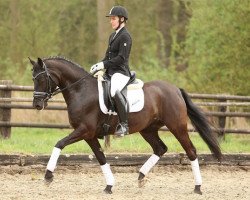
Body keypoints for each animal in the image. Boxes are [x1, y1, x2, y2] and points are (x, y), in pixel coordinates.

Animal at [28, 57, 222, 195]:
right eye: (33, 79)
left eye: (42, 79)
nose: (37, 105)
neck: (81, 90)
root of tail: (175, 89)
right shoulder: (89, 135)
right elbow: (101, 157)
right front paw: (109, 186)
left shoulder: (84, 130)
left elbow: (59, 144)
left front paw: (48, 175)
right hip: (148, 129)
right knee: (160, 148)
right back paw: (141, 176)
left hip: (177, 126)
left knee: (191, 151)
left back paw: (198, 187)